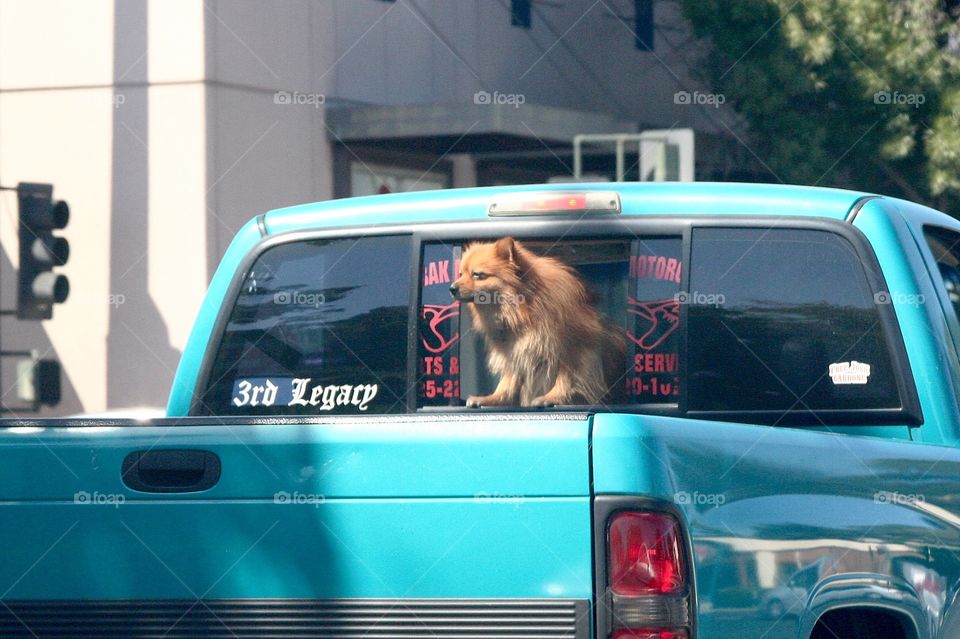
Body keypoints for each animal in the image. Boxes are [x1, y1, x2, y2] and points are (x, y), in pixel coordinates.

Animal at [448, 238, 628, 408]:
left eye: (477, 275)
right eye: (460, 274)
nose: (451, 288)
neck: (521, 311)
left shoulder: (574, 351)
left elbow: (565, 378)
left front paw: (552, 397)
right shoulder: (515, 350)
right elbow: (508, 381)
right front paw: (493, 398)